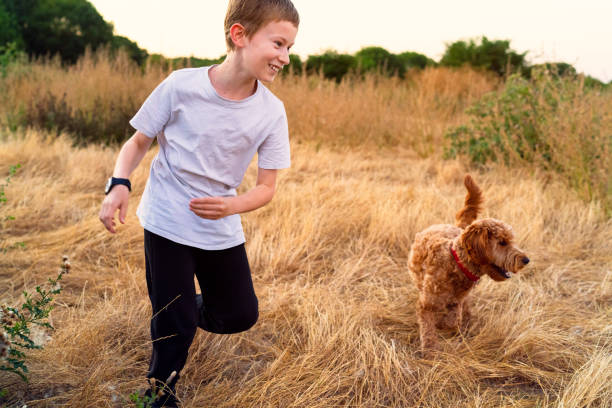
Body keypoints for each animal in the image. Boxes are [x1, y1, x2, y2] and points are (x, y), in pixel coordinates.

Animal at [408, 175, 528, 350]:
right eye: (502, 242)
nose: (526, 260)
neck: (457, 264)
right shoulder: (426, 304)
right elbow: (429, 327)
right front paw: (430, 348)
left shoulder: (456, 301)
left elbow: (452, 320)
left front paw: (443, 323)